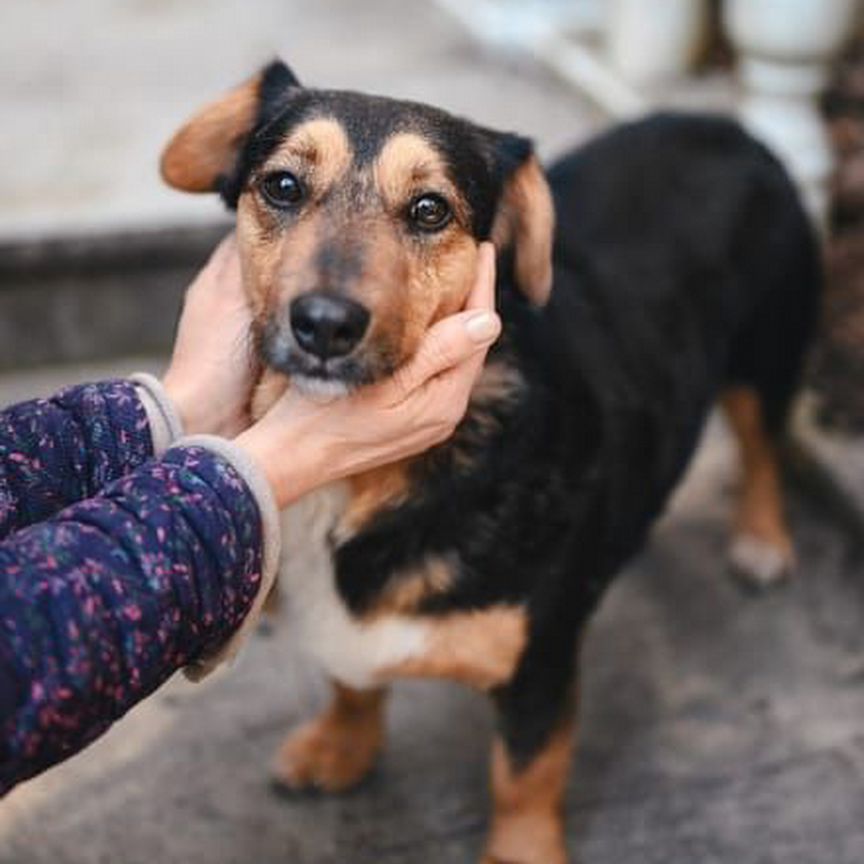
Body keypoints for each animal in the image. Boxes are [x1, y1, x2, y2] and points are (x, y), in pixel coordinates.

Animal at [160, 60, 816, 864]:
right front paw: (342, 746)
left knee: (763, 446)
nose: (324, 326)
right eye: (282, 186)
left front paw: (520, 850)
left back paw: (762, 539)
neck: (359, 489)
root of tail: (726, 126)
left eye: (430, 209)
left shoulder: (540, 663)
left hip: (768, 355)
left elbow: (524, 777)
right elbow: (350, 681)